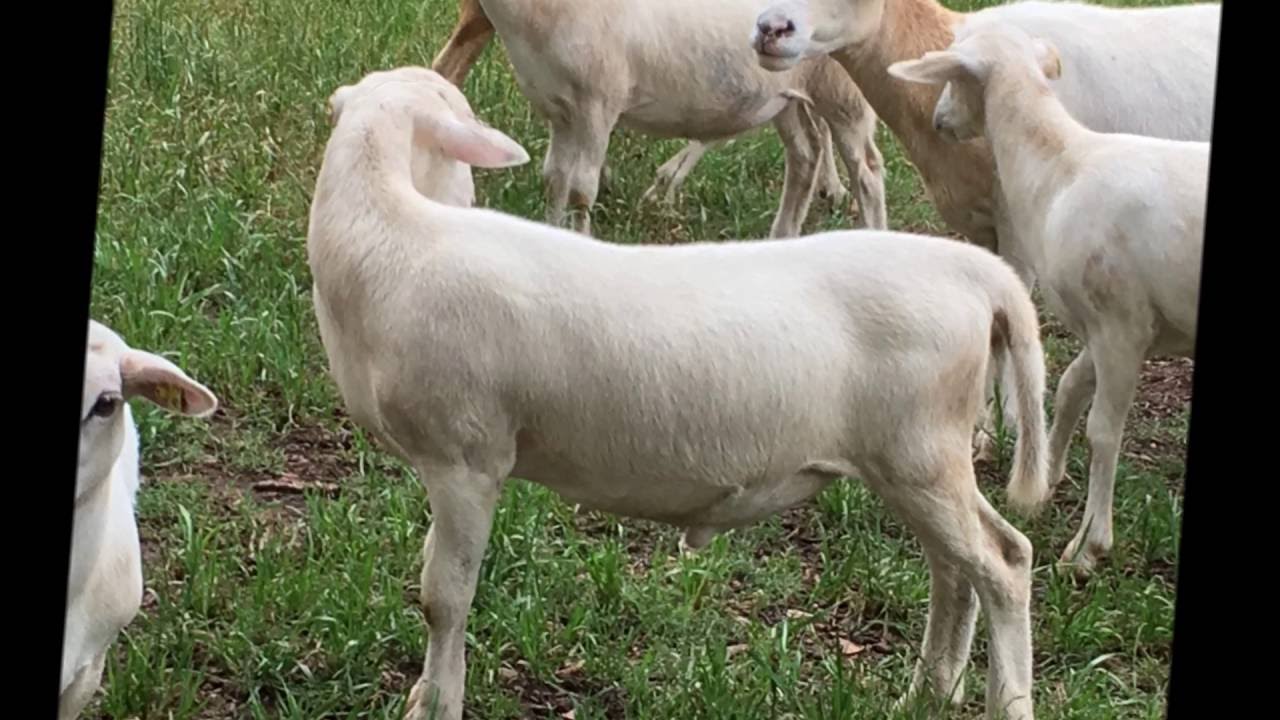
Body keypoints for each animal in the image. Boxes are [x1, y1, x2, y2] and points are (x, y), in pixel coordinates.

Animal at [310, 66, 1051, 720]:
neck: (393, 237)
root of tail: (976, 274)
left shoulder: (465, 458)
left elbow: (444, 596)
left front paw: (437, 703)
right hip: (916, 460)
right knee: (955, 572)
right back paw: (927, 694)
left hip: (920, 453)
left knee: (1004, 563)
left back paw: (1004, 702)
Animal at [429, 0, 888, 237]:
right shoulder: (562, 113)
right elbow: (553, 181)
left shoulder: (597, 106)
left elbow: (579, 190)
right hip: (785, 96)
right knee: (806, 154)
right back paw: (781, 237)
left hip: (844, 94)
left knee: (867, 171)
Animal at [887, 21, 1208, 575]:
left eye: (954, 72)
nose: (939, 120)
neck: (1062, 167)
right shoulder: (1103, 326)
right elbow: (1069, 388)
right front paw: (1045, 479)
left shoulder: (1121, 325)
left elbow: (1103, 429)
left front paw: (1088, 547)